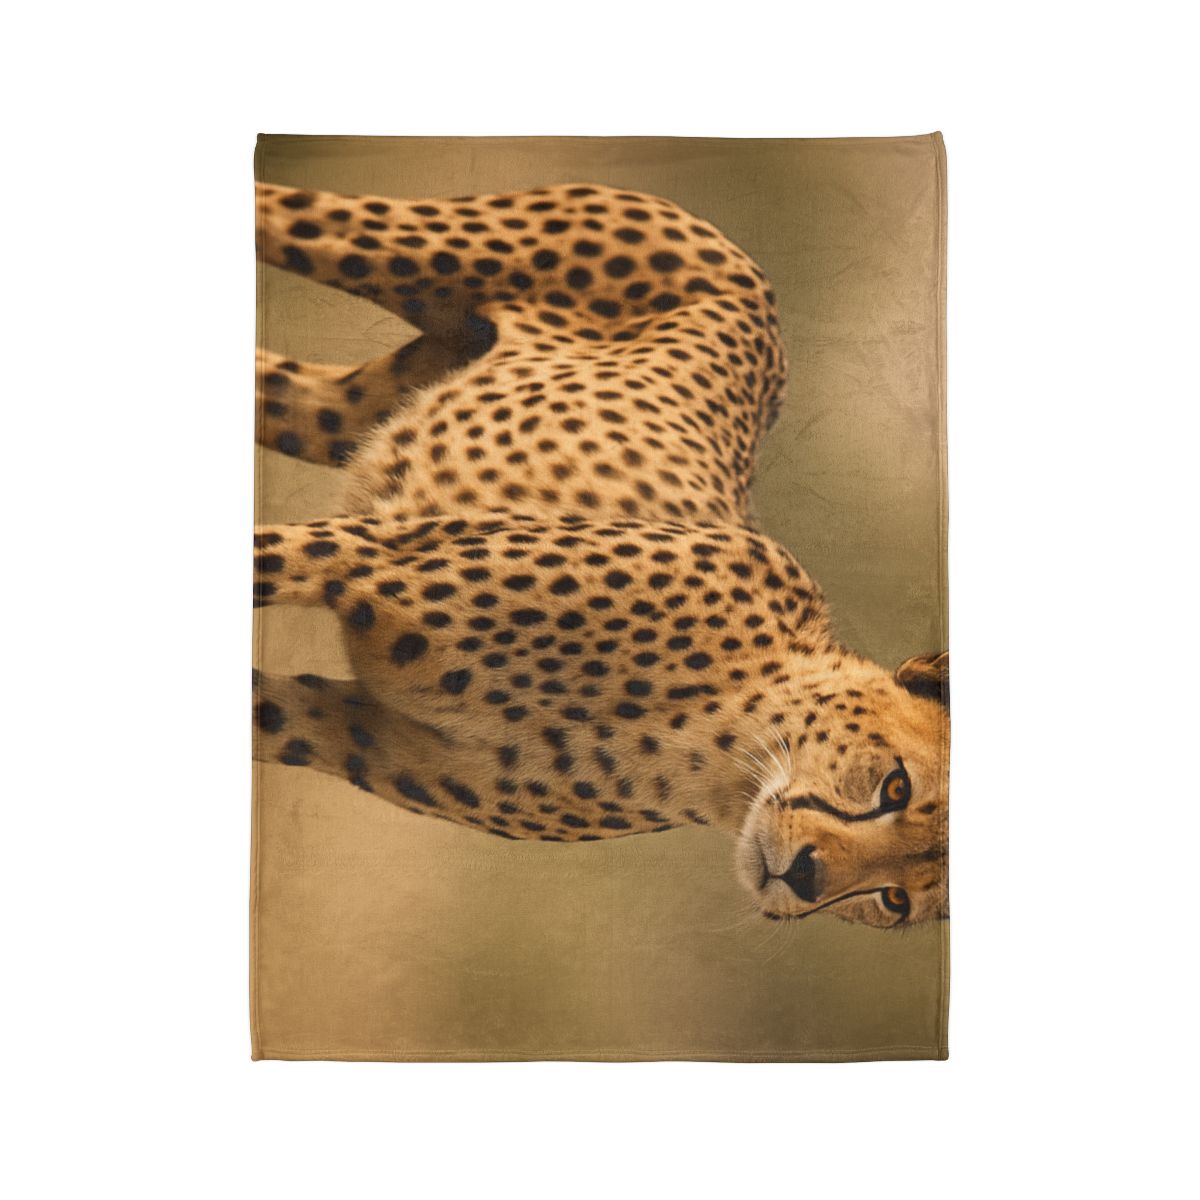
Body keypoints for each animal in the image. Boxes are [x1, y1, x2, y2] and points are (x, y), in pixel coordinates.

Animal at [252, 179, 949, 928]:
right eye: (897, 786)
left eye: (897, 899)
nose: (807, 876)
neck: (719, 739)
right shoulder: (357, 553)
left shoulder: (339, 728)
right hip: (398, 247)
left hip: (345, 406)